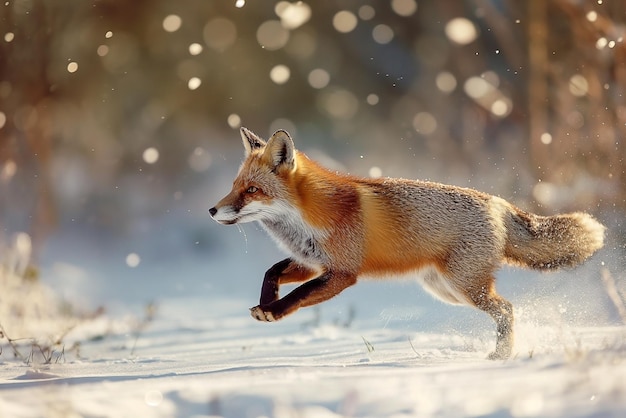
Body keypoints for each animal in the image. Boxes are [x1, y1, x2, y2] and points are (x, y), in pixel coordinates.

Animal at [211, 127, 604, 360]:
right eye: (234, 186)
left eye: (252, 190)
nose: (213, 210)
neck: (308, 217)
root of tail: (497, 202)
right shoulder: (313, 262)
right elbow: (271, 272)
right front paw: (267, 301)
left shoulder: (343, 273)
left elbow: (299, 296)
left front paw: (274, 311)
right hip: (446, 290)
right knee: (506, 307)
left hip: (464, 287)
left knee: (507, 309)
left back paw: (500, 357)